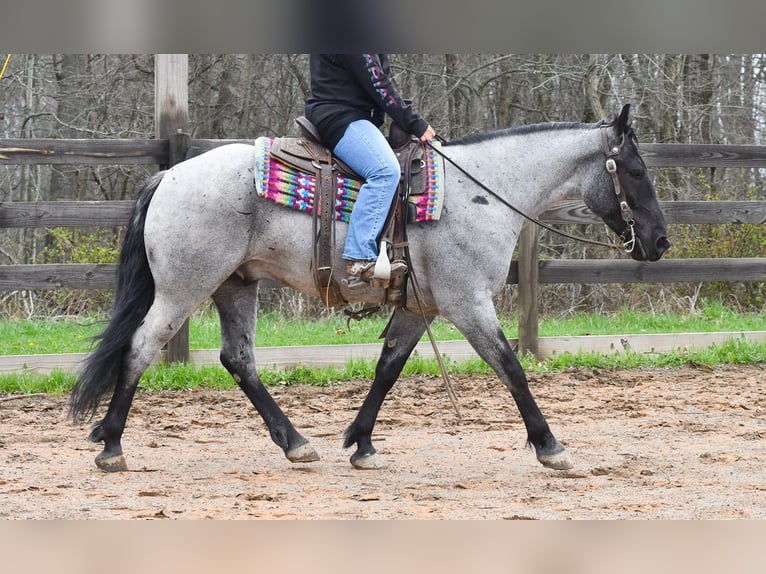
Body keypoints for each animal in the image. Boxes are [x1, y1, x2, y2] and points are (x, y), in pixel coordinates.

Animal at [69, 104, 670, 472]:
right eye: (636, 171)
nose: (660, 241)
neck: (482, 192)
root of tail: (168, 175)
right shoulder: (468, 303)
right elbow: (512, 368)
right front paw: (550, 446)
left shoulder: (421, 307)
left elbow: (388, 366)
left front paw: (361, 443)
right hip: (183, 288)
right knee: (142, 347)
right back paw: (113, 444)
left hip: (235, 285)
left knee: (238, 359)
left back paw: (296, 443)